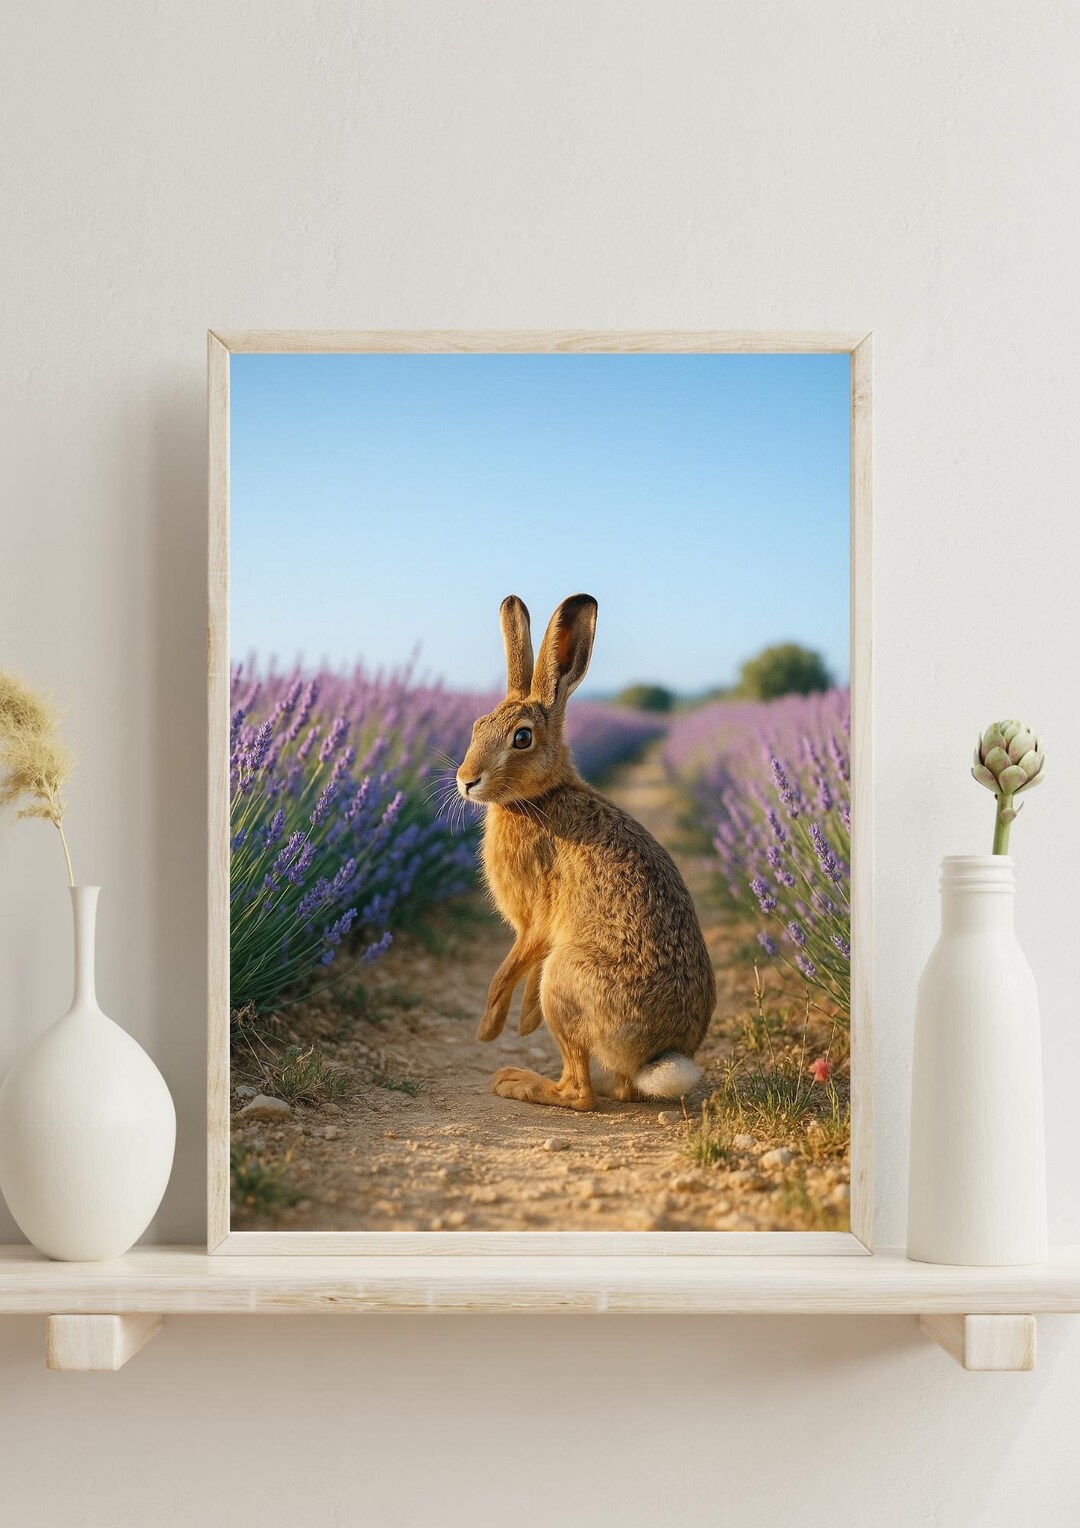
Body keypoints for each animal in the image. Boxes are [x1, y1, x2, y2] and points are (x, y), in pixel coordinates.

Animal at [456, 592, 716, 1111]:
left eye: (522, 737)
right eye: (477, 726)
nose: (466, 780)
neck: (538, 798)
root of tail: (657, 1056)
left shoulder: (534, 918)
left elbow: (510, 968)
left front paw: (490, 1029)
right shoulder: (537, 933)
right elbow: (524, 970)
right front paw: (523, 1023)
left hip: (564, 980)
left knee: (581, 1092)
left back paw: (517, 1082)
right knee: (619, 1089)